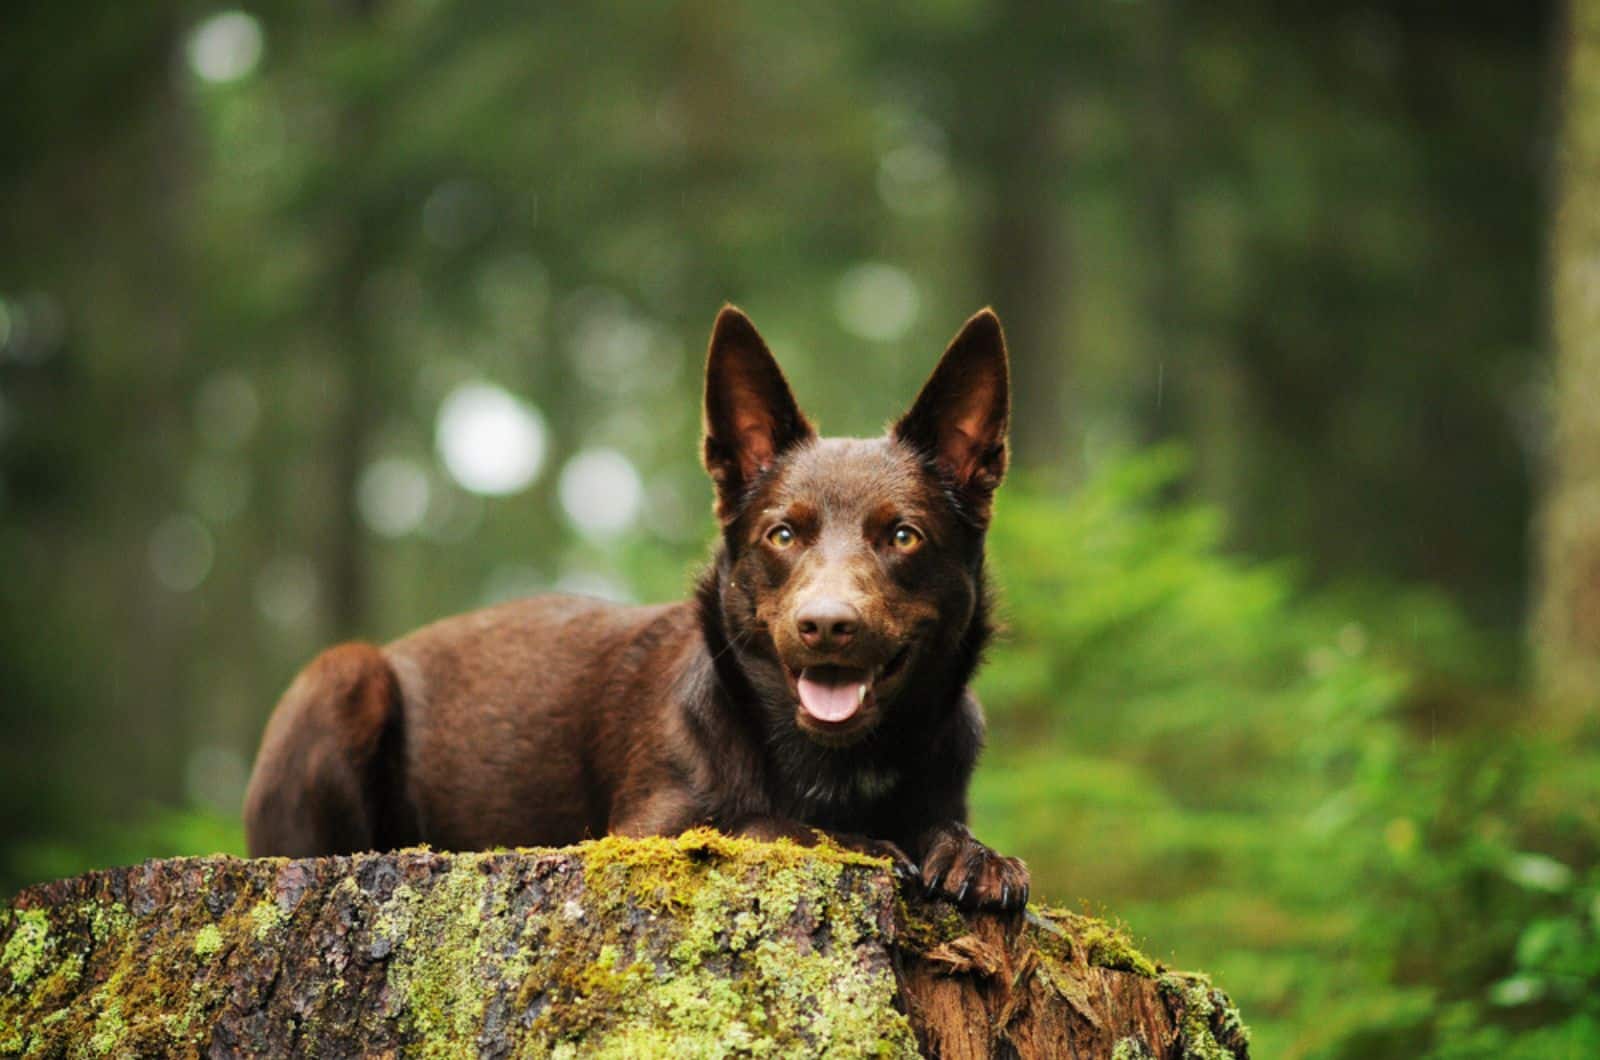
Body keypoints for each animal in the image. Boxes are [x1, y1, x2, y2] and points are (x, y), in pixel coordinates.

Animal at [243, 305, 1030, 915]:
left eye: (903, 536)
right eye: (782, 535)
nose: (827, 626)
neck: (833, 766)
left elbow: (942, 829)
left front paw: (972, 854)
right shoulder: (650, 828)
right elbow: (756, 825)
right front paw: (864, 844)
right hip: (343, 675)